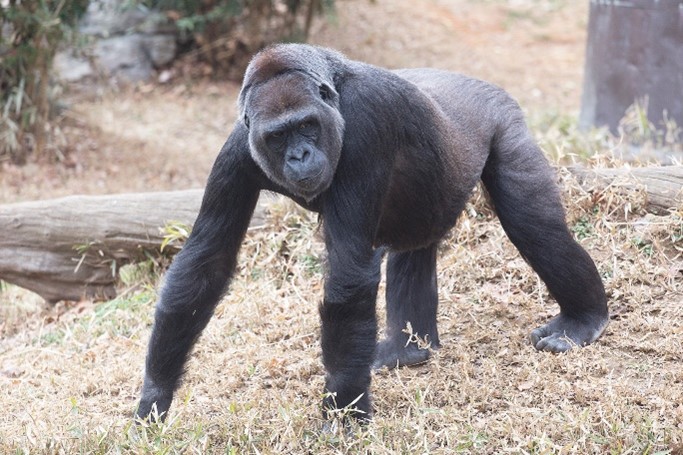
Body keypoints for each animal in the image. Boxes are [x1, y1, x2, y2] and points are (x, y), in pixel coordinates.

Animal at [136, 44, 612, 422]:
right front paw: (155, 395)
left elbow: (348, 277)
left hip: (504, 122)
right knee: (412, 249)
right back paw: (408, 349)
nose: (299, 155)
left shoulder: (364, 125)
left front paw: (344, 411)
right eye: (278, 136)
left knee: (534, 227)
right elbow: (205, 264)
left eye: (307, 126)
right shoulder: (238, 150)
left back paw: (583, 319)